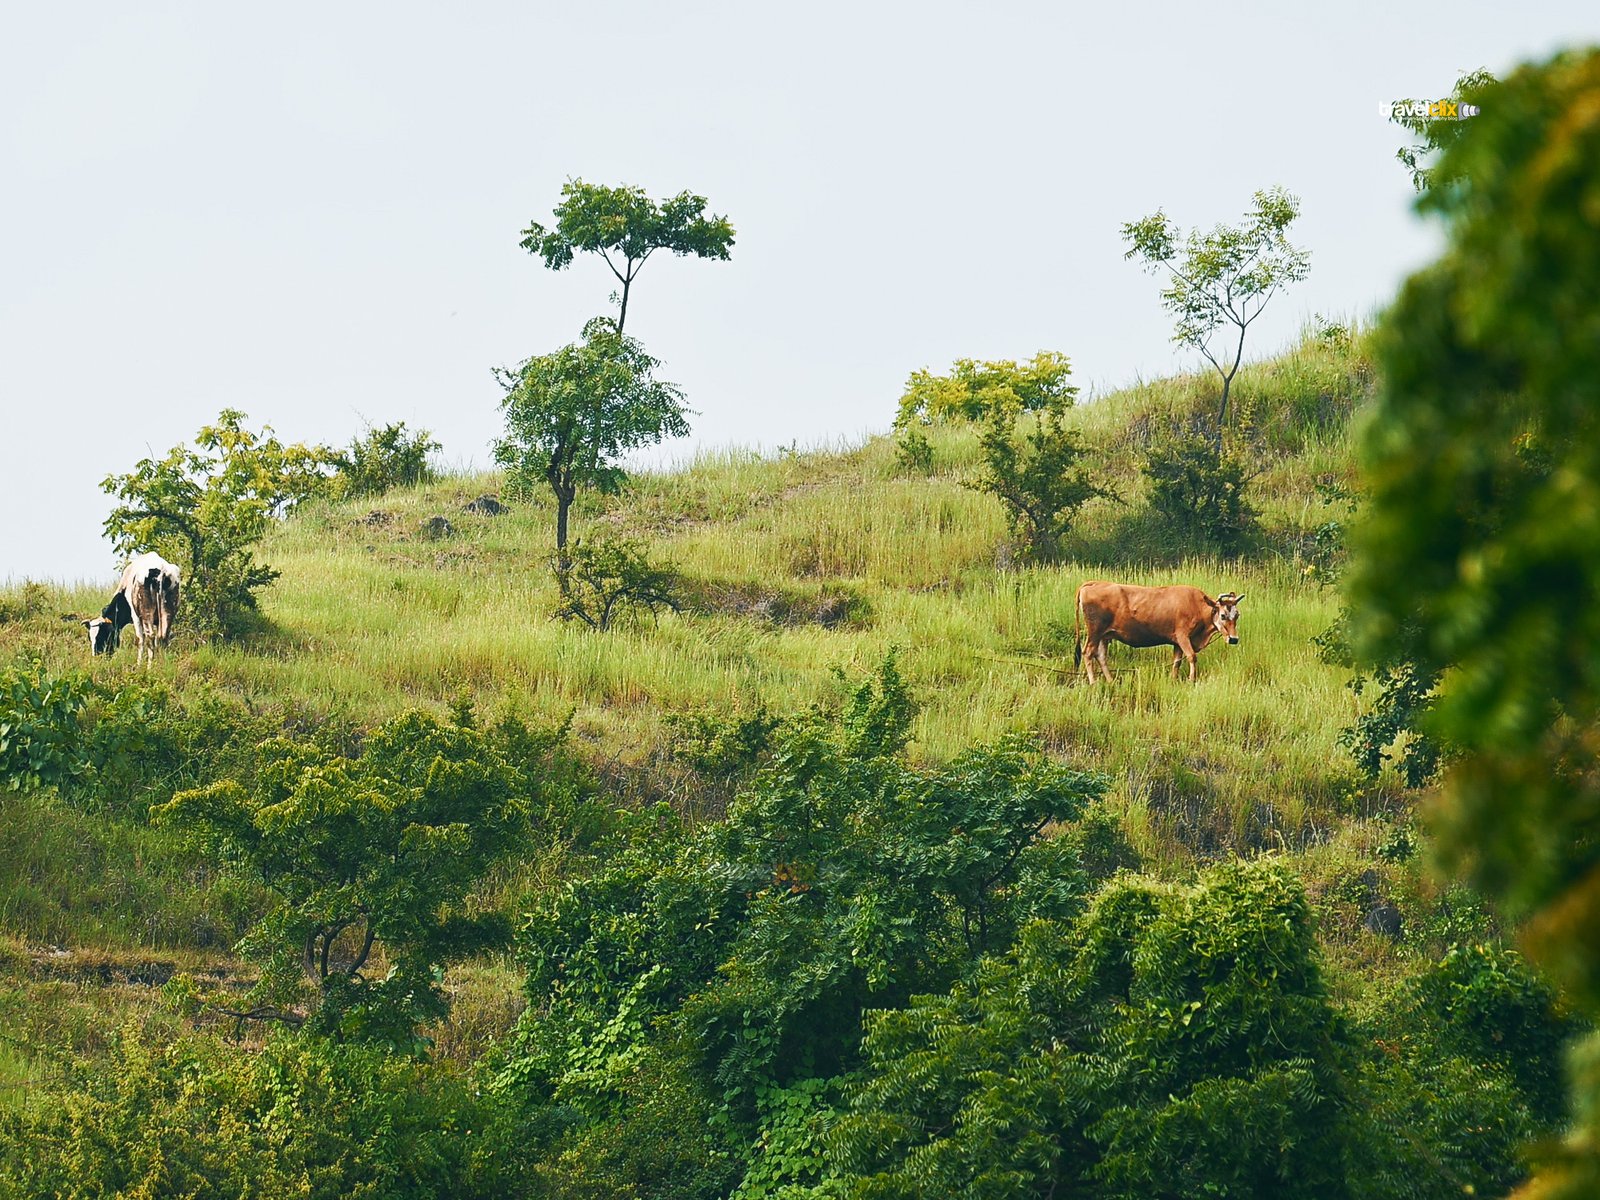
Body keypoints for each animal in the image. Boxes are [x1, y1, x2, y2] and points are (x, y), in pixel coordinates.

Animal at [1075, 585, 1248, 684]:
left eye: (1237, 615)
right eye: (1223, 615)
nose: (1234, 639)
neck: (1197, 605)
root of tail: (1092, 583)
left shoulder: (1177, 642)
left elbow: (1177, 661)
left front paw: (1173, 679)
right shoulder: (1183, 637)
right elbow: (1192, 657)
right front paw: (1191, 679)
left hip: (1104, 636)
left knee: (1101, 656)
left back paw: (1111, 680)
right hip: (1094, 632)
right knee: (1088, 653)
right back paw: (1093, 682)